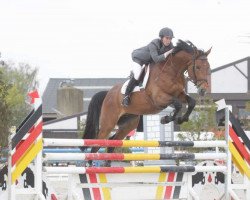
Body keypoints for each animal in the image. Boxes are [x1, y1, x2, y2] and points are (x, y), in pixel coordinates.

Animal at [82, 39, 211, 166]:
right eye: (198, 67)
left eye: (208, 68)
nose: (203, 90)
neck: (172, 71)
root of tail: (108, 93)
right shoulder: (159, 98)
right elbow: (178, 105)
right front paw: (166, 119)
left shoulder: (179, 95)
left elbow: (192, 102)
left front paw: (181, 119)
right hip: (108, 123)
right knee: (97, 143)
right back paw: (90, 166)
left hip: (128, 124)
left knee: (112, 142)